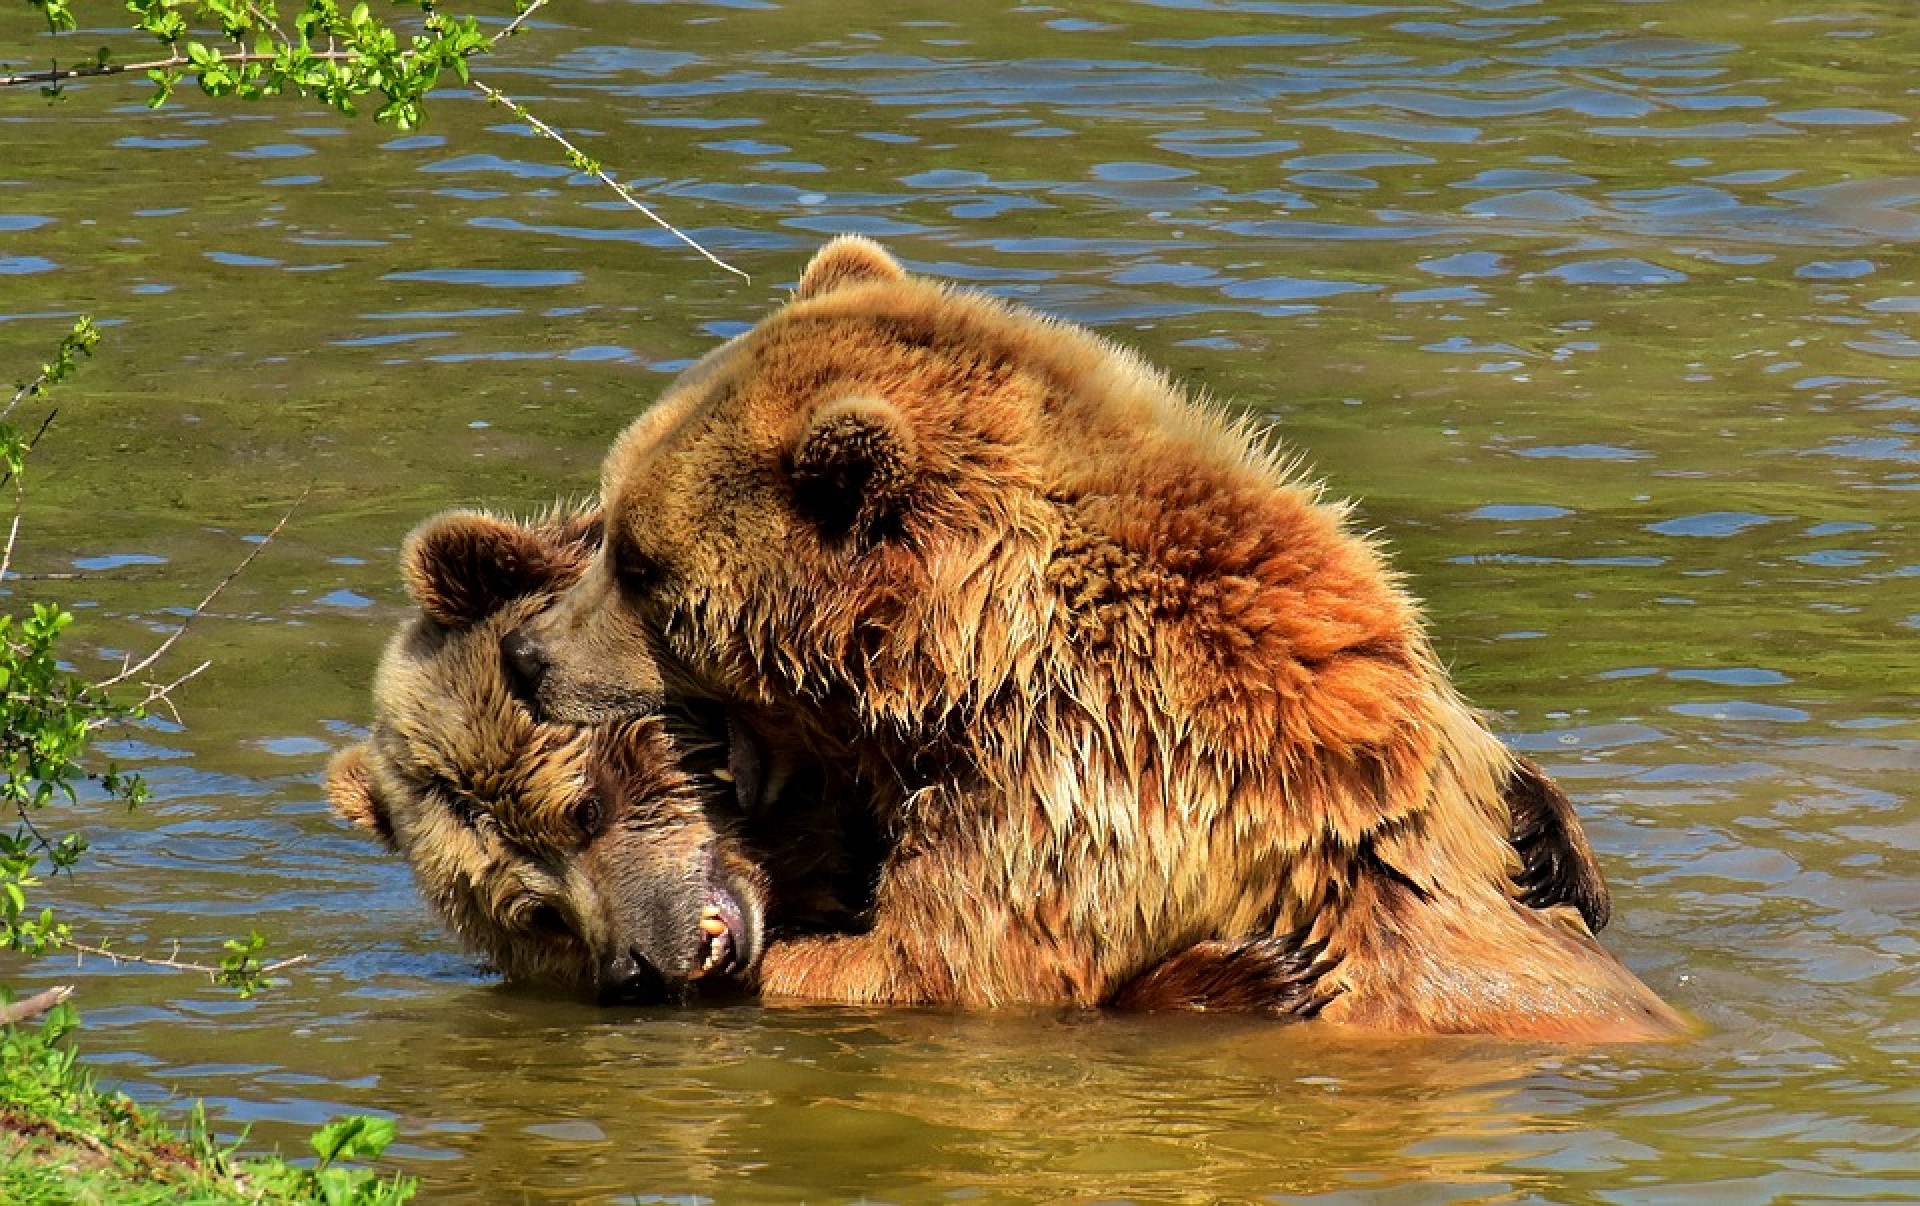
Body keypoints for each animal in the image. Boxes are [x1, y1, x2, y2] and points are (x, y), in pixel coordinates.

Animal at [503, 235, 1689, 1037]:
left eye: (641, 565)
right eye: (611, 524)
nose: (527, 656)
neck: (967, 659)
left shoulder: (1083, 783)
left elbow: (943, 965)